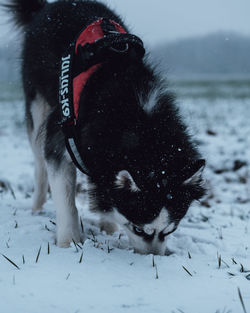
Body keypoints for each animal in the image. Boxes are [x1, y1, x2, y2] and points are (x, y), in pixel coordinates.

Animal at [5, 0, 205, 254]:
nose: (155, 258)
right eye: (139, 229)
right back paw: (37, 205)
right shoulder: (61, 136)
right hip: (37, 105)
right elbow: (65, 198)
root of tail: (50, 6)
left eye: (170, 231)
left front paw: (108, 226)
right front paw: (69, 241)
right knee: (39, 161)